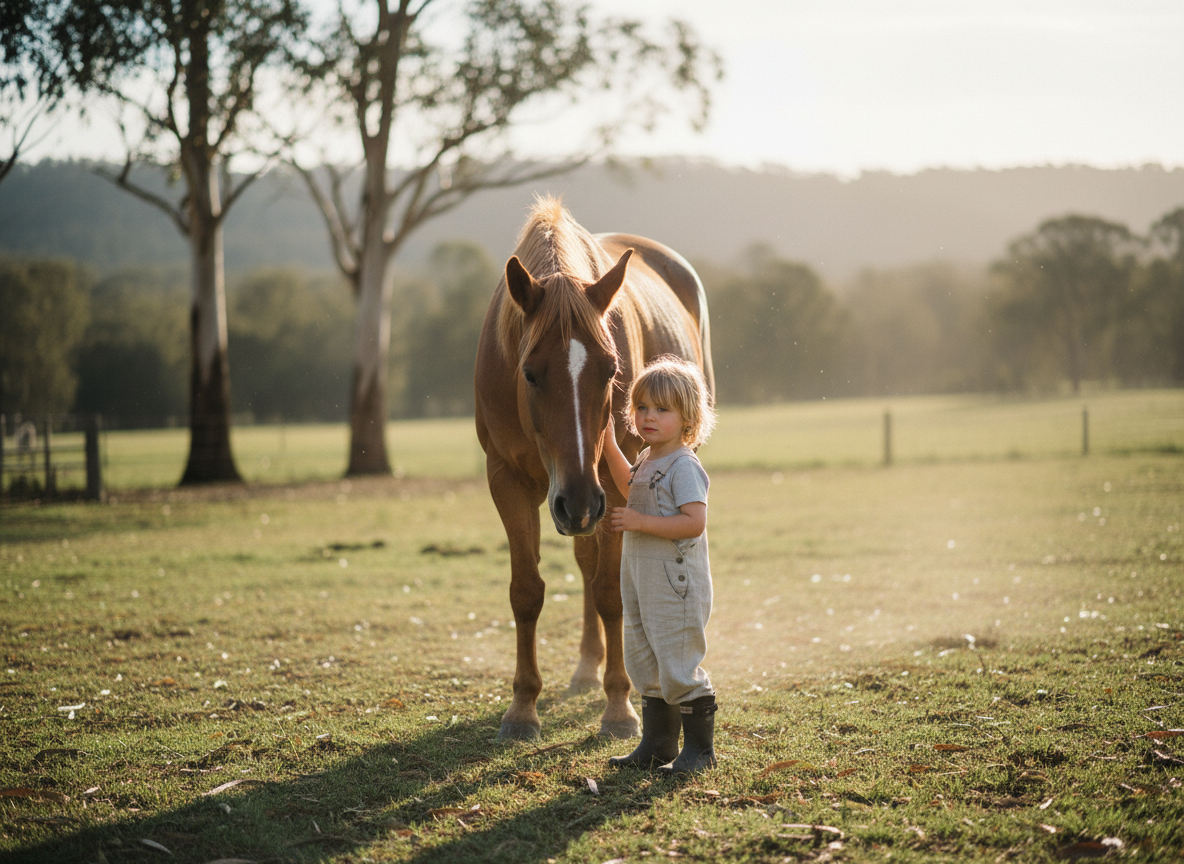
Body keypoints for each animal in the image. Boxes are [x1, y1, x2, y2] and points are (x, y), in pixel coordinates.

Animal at [474, 197, 714, 740]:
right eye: (529, 373)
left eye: (611, 370)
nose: (579, 501)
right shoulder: (507, 480)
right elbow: (526, 592)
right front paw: (522, 708)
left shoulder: (614, 488)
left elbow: (610, 594)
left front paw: (620, 707)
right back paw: (585, 668)